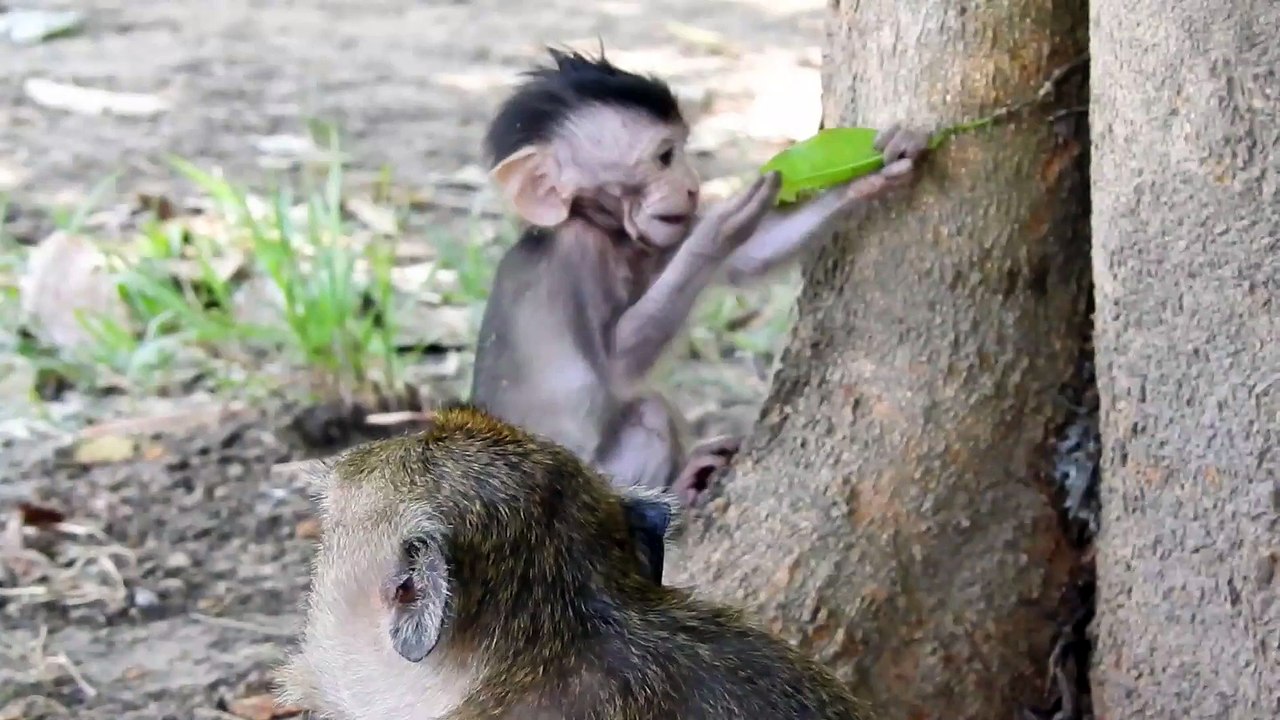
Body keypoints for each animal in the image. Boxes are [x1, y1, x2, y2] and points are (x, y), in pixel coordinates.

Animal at [469, 48, 930, 506]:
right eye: (664, 158)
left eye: (679, 152)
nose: (692, 187)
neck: (603, 227)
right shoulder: (579, 254)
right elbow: (617, 367)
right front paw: (720, 229)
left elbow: (750, 257)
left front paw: (873, 170)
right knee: (649, 414)